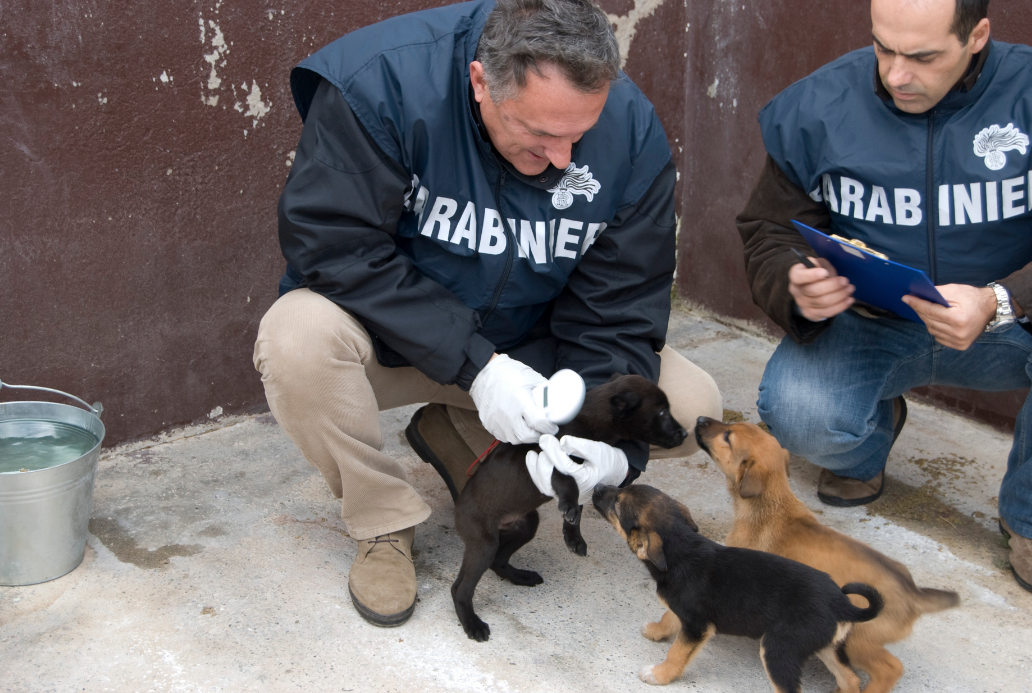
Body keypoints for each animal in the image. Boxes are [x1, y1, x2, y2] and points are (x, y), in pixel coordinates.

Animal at [452, 375, 685, 643]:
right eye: (662, 411)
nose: (685, 433)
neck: (591, 421)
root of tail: (458, 510)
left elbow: (580, 505)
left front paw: (573, 536)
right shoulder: (554, 456)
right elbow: (568, 480)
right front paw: (570, 509)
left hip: (525, 525)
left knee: (498, 561)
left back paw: (521, 576)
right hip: (484, 542)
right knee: (459, 589)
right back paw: (472, 623)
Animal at [594, 484, 883, 688]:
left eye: (617, 503)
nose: (597, 487)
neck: (680, 548)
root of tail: (841, 604)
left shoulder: (697, 626)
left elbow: (676, 653)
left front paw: (659, 675)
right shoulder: (688, 615)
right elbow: (668, 616)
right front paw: (656, 631)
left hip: (779, 650)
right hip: (823, 645)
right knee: (850, 679)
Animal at [693, 416, 957, 693]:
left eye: (727, 437)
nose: (700, 419)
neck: (770, 503)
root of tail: (913, 593)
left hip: (858, 638)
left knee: (889, 668)